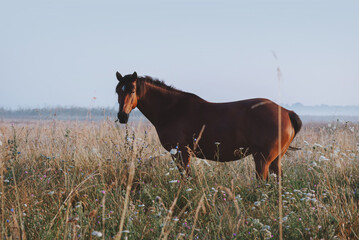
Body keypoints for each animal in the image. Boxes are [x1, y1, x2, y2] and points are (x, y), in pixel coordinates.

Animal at [116, 71, 302, 180]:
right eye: (117, 90)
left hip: (262, 159)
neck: (172, 109)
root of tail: (286, 112)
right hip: (275, 159)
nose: (122, 116)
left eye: (132, 90)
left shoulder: (181, 153)